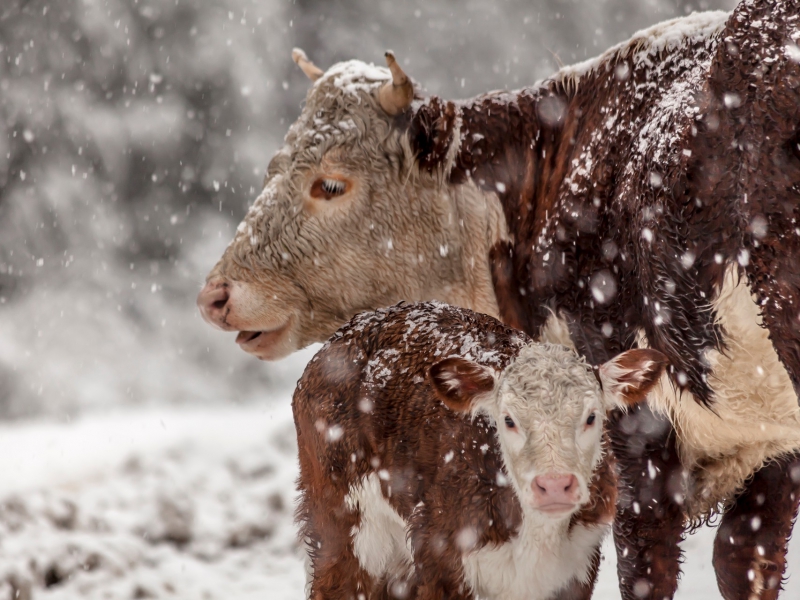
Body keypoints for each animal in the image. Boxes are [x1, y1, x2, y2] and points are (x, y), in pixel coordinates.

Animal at [294, 302, 668, 596]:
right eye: (509, 420)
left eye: (591, 416)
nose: (553, 486)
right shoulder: (439, 553)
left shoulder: (578, 563)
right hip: (344, 521)